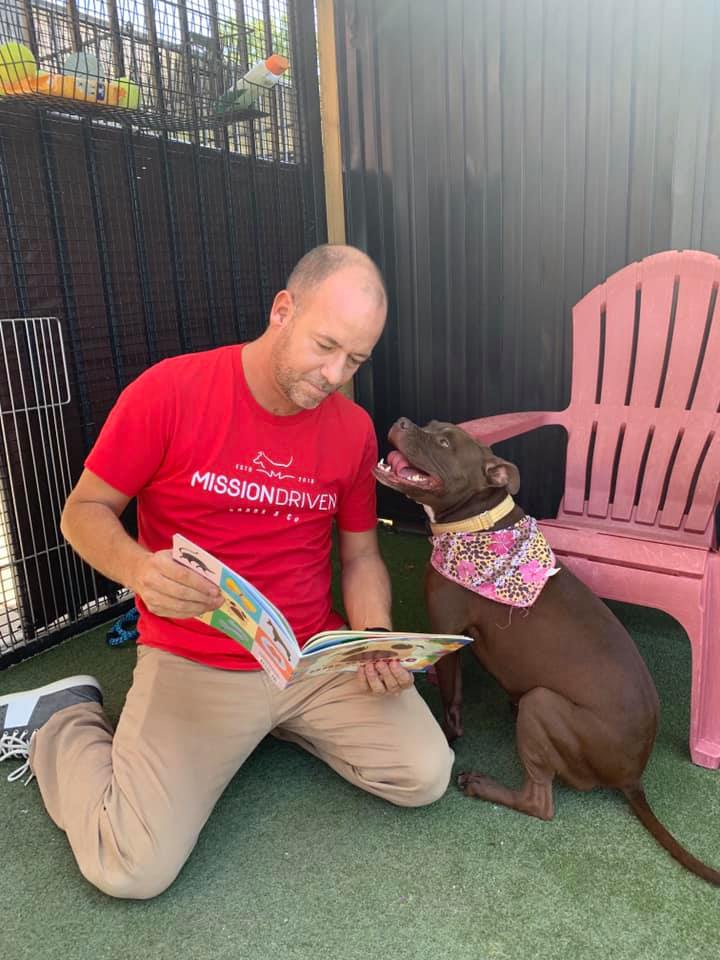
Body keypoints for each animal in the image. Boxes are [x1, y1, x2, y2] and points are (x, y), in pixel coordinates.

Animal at [374, 418, 720, 884]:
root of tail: (633, 775)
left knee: (540, 803)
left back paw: (482, 784)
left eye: (444, 442)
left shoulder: (447, 633)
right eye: (430, 425)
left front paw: (448, 737)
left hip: (543, 706)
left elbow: (451, 700)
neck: (478, 522)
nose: (402, 421)